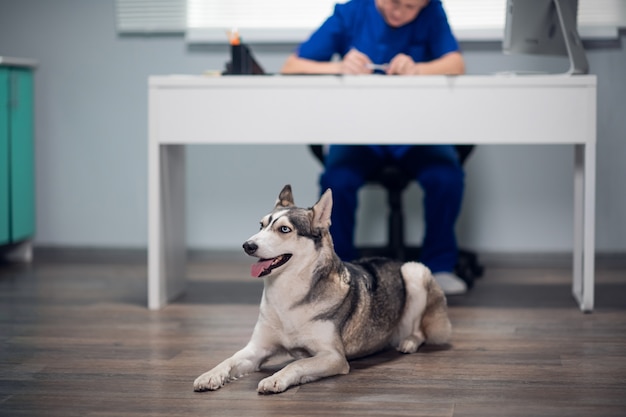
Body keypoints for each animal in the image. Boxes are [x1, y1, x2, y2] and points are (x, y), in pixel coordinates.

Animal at [193, 184, 450, 392]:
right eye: (261, 225)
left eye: (284, 229)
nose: (247, 245)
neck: (287, 293)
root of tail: (395, 258)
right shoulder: (257, 349)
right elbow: (229, 359)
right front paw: (210, 375)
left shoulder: (333, 357)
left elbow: (298, 362)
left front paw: (275, 378)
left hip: (414, 271)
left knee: (420, 331)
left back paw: (408, 342)